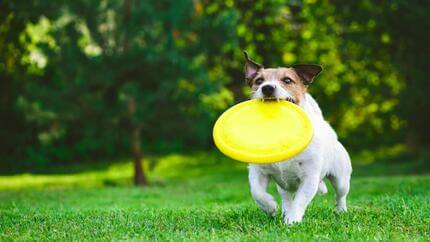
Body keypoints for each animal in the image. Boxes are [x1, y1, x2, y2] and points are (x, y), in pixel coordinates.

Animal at [244, 52, 352, 224]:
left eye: (287, 80)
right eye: (259, 81)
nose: (267, 87)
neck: (280, 130)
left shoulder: (309, 178)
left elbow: (300, 200)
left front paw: (292, 220)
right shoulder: (258, 172)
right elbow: (257, 192)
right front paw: (270, 206)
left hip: (341, 178)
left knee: (340, 195)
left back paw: (341, 211)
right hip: (283, 185)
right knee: (286, 197)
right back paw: (284, 210)